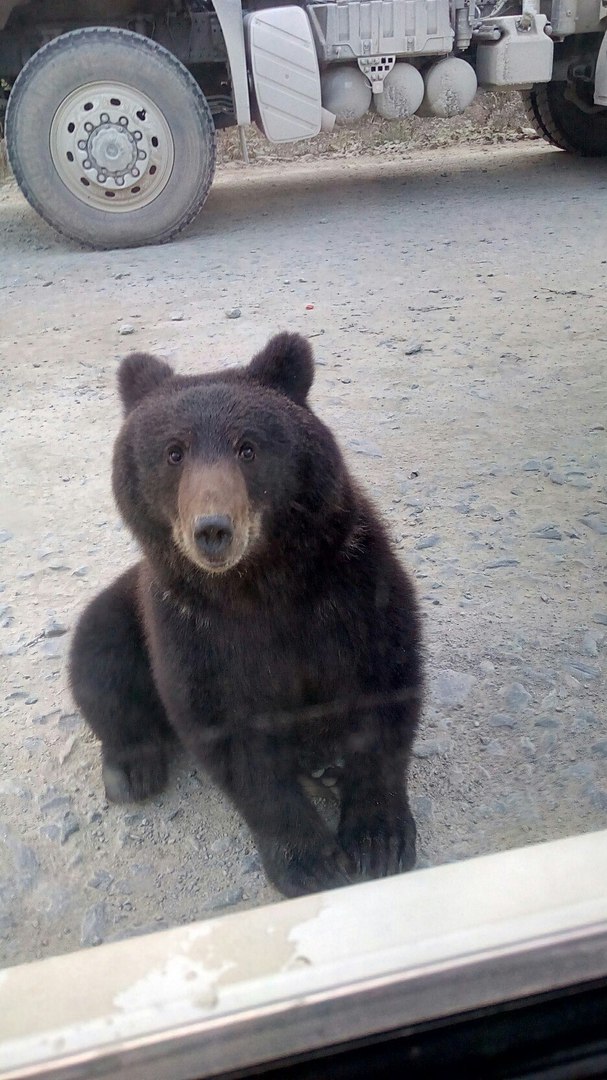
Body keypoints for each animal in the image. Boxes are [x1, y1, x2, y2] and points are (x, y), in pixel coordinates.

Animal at [68, 332, 421, 898]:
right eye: (174, 452)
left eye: (247, 447)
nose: (213, 529)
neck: (258, 585)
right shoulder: (192, 625)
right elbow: (233, 736)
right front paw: (309, 859)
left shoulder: (351, 585)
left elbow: (384, 683)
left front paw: (377, 837)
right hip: (124, 609)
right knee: (99, 653)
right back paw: (132, 768)